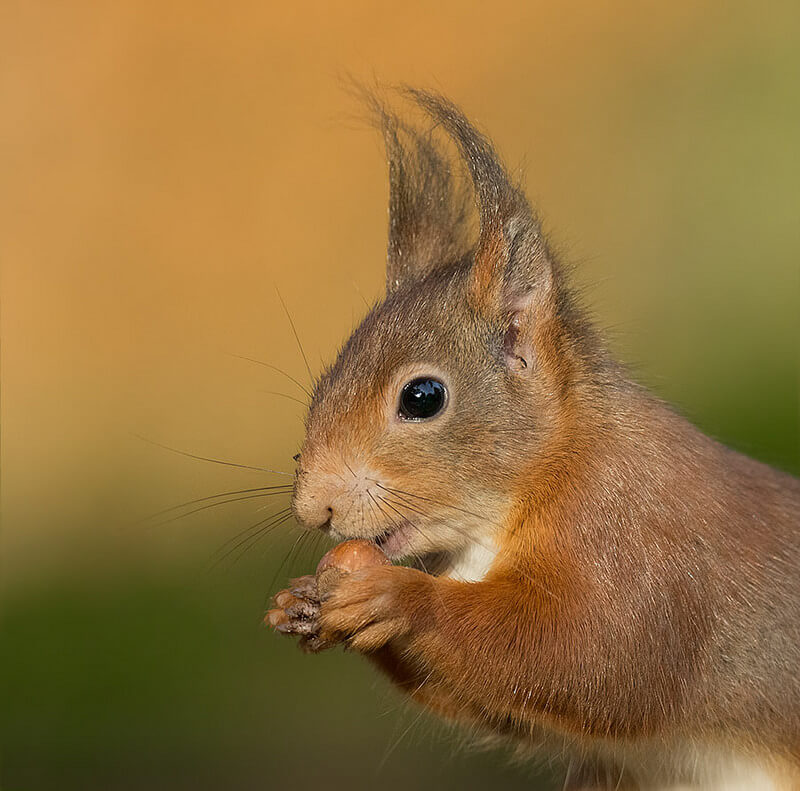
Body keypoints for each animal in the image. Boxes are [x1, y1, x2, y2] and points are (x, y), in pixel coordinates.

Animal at [267, 88, 800, 791]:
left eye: (422, 397)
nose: (314, 508)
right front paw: (299, 600)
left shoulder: (636, 539)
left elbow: (594, 660)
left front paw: (398, 597)